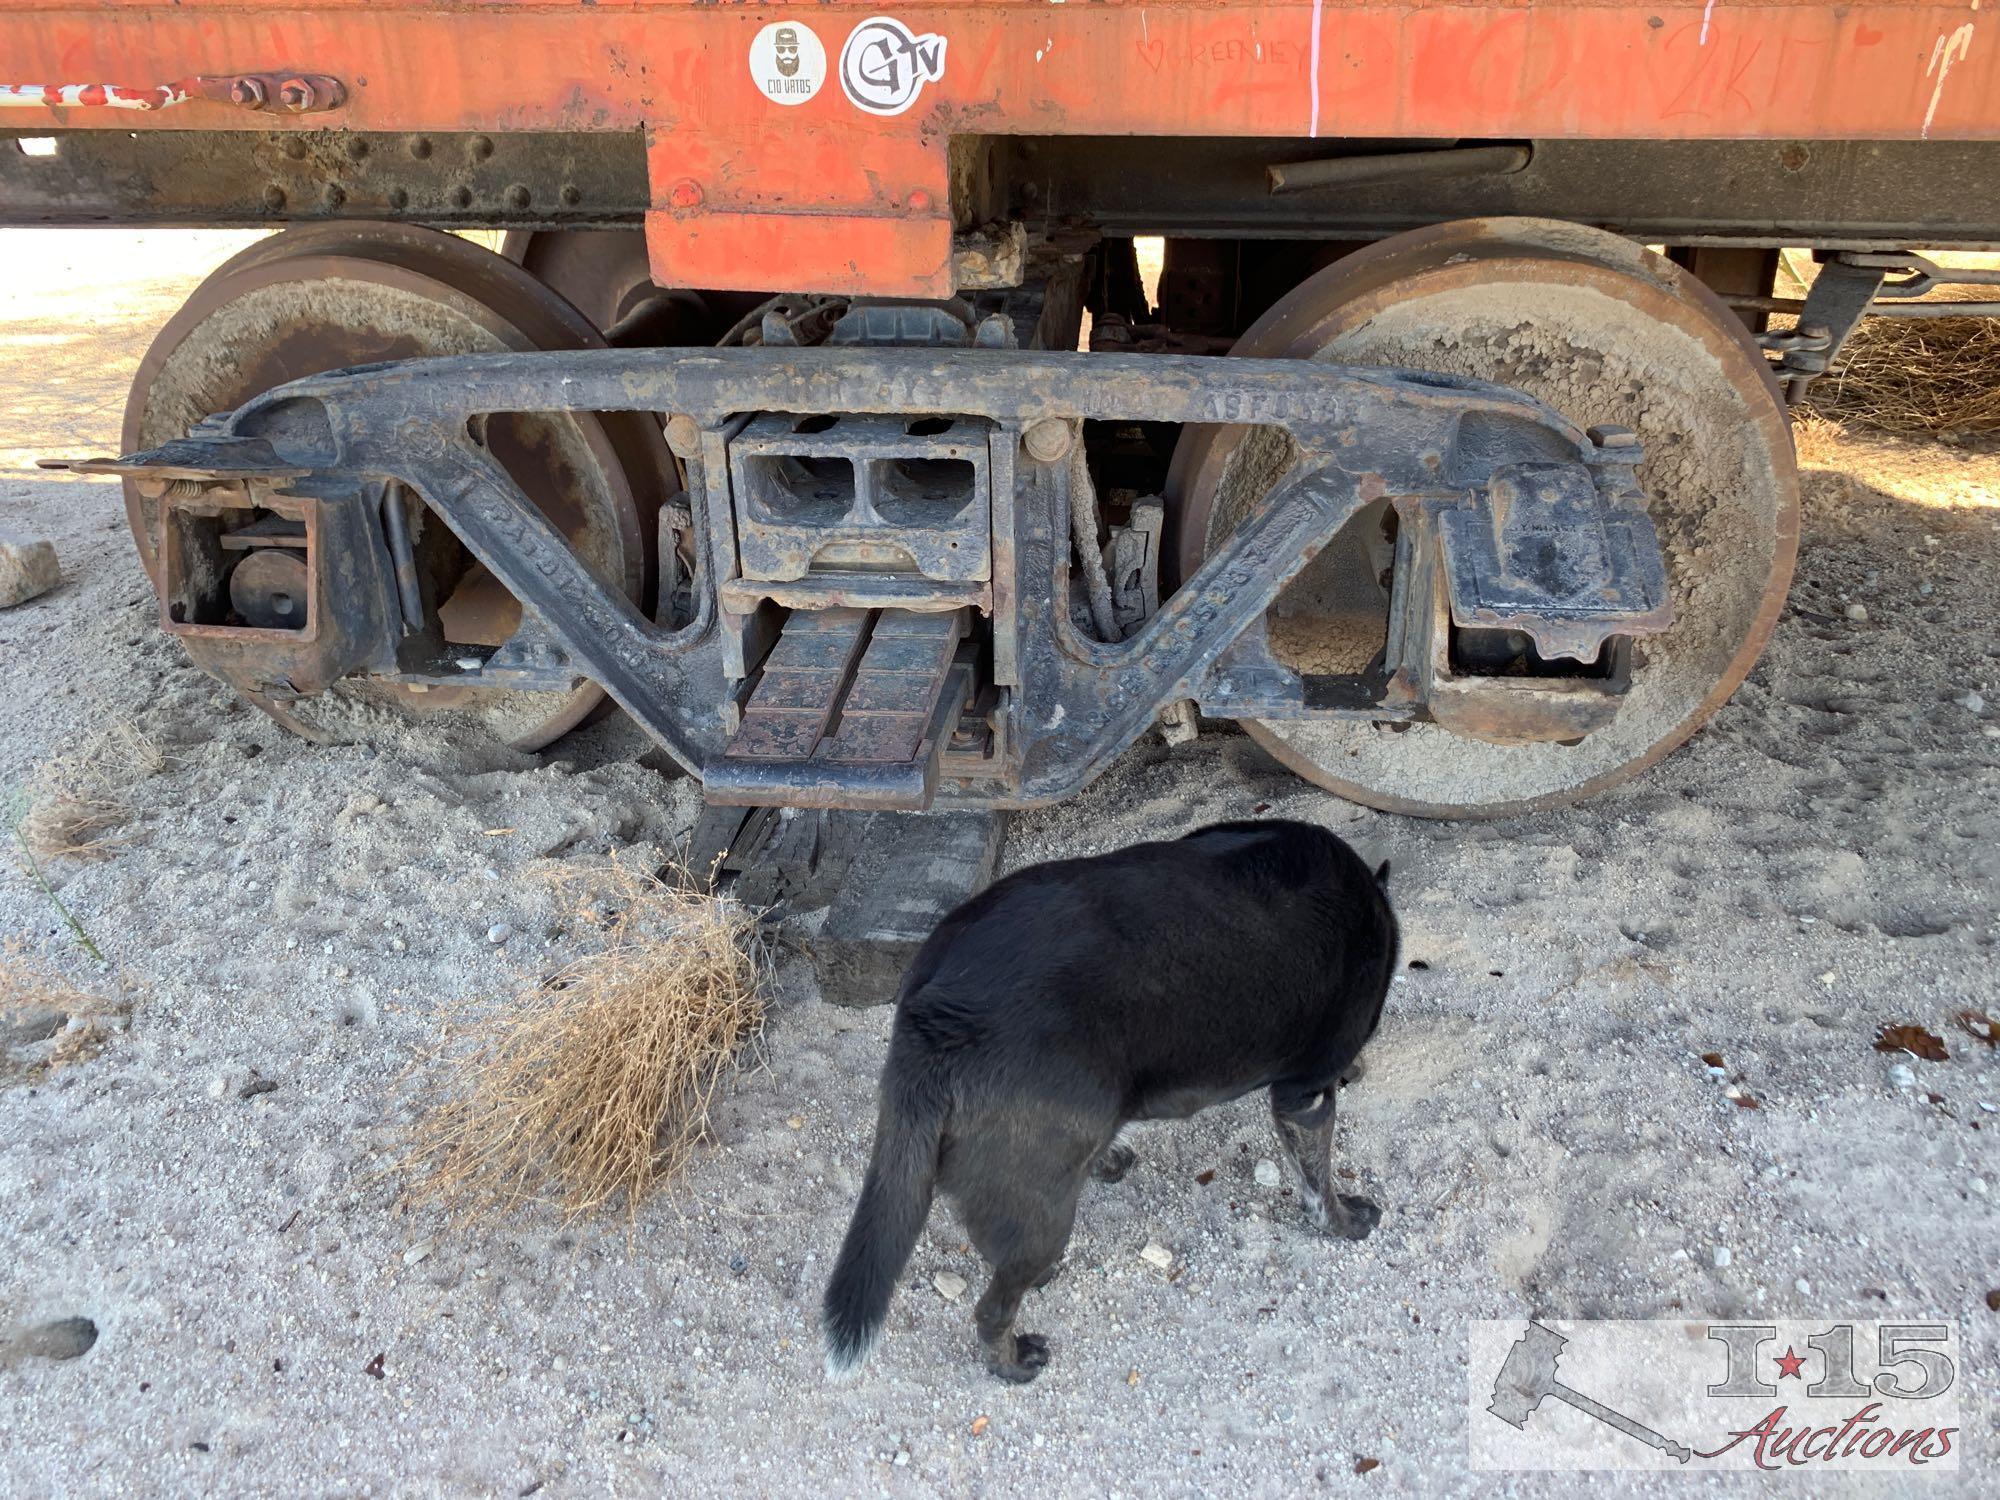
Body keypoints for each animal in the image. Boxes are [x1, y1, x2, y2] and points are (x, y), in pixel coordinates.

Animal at [820, 824, 1400, 1384]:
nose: (1357, 1071)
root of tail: (938, 1013)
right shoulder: (1304, 1097)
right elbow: (1319, 1184)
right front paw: (1346, 1222)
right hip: (1046, 1212)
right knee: (991, 1311)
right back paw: (1011, 1363)